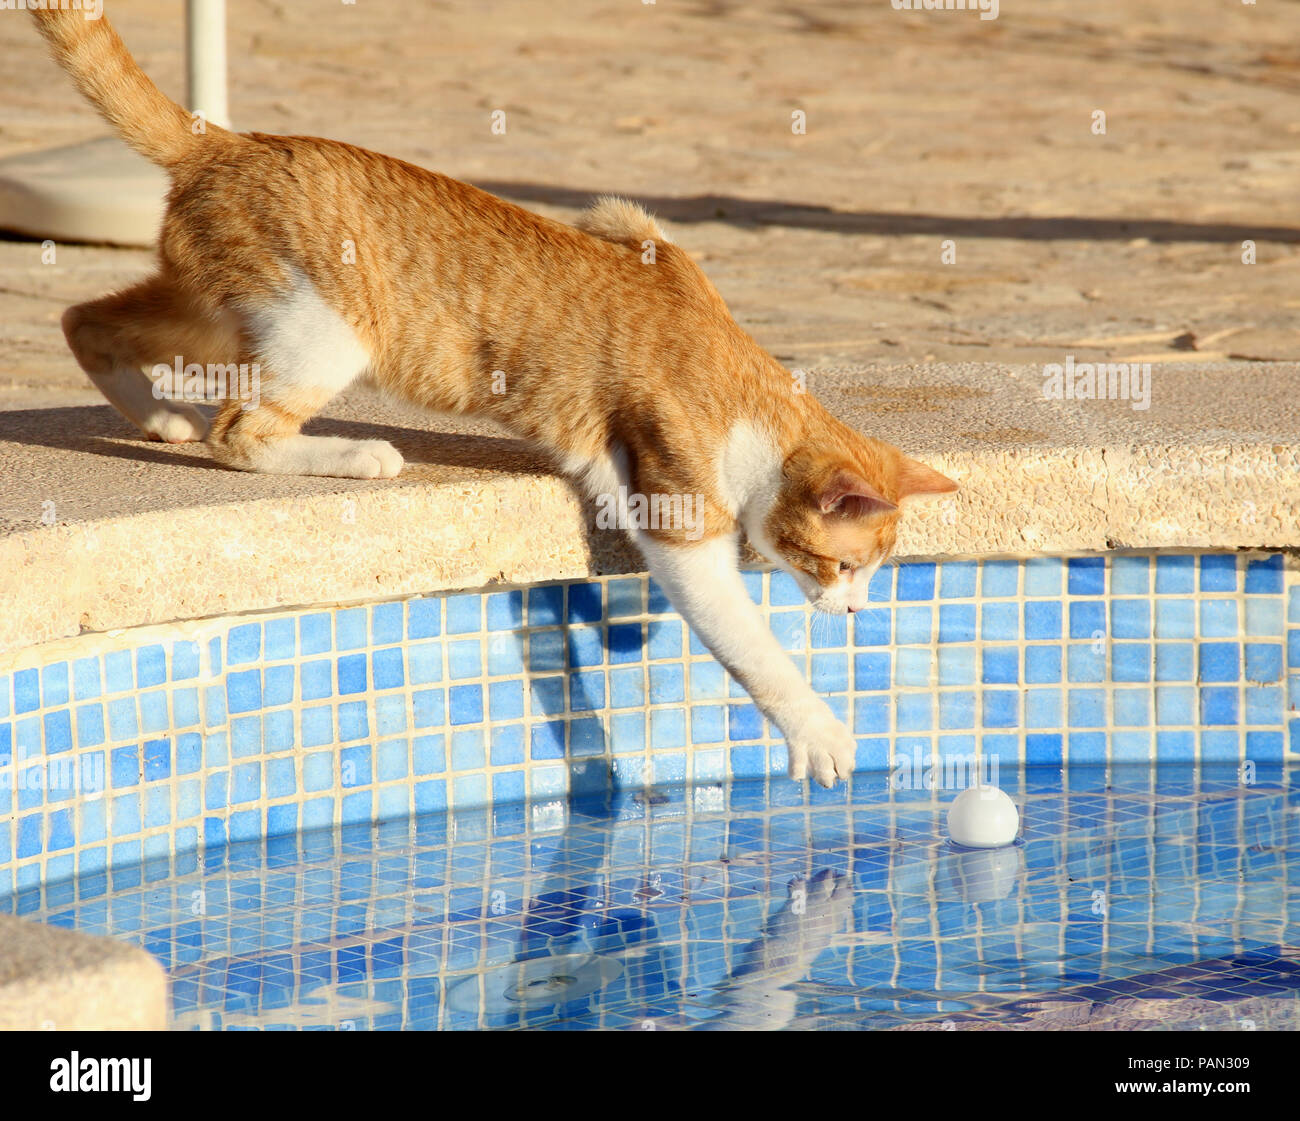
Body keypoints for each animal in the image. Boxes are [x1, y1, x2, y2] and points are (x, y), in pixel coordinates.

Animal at [25, 6, 951, 790]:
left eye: (871, 573)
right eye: (844, 566)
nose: (856, 608)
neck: (746, 386)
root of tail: (225, 140)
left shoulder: (635, 225)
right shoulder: (680, 512)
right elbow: (751, 643)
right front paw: (816, 731)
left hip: (211, 311)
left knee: (87, 320)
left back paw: (158, 415)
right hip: (326, 329)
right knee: (241, 429)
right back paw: (356, 453)